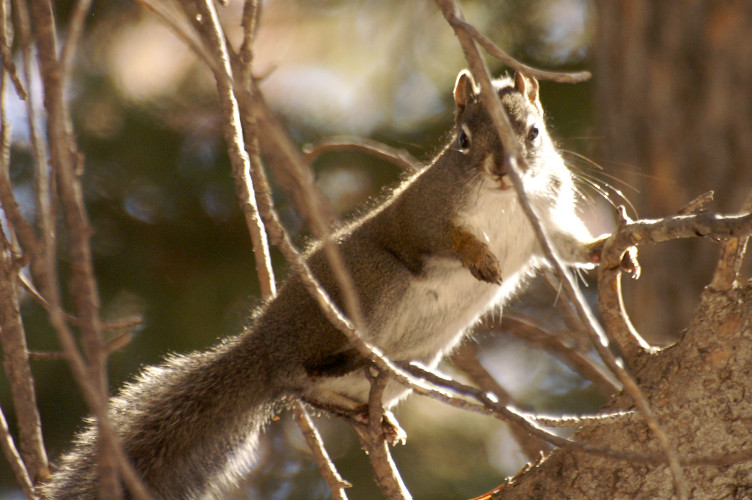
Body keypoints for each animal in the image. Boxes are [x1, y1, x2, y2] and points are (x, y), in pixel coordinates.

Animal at [44, 70, 603, 499]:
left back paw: (369, 417)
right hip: (375, 286)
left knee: (310, 388)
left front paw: (608, 251)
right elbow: (438, 237)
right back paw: (339, 365)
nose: (501, 169)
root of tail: (265, 345)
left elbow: (571, 247)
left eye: (534, 132)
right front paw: (480, 257)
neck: (506, 202)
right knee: (303, 373)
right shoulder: (424, 214)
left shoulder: (546, 225)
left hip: (415, 360)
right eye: (462, 139)